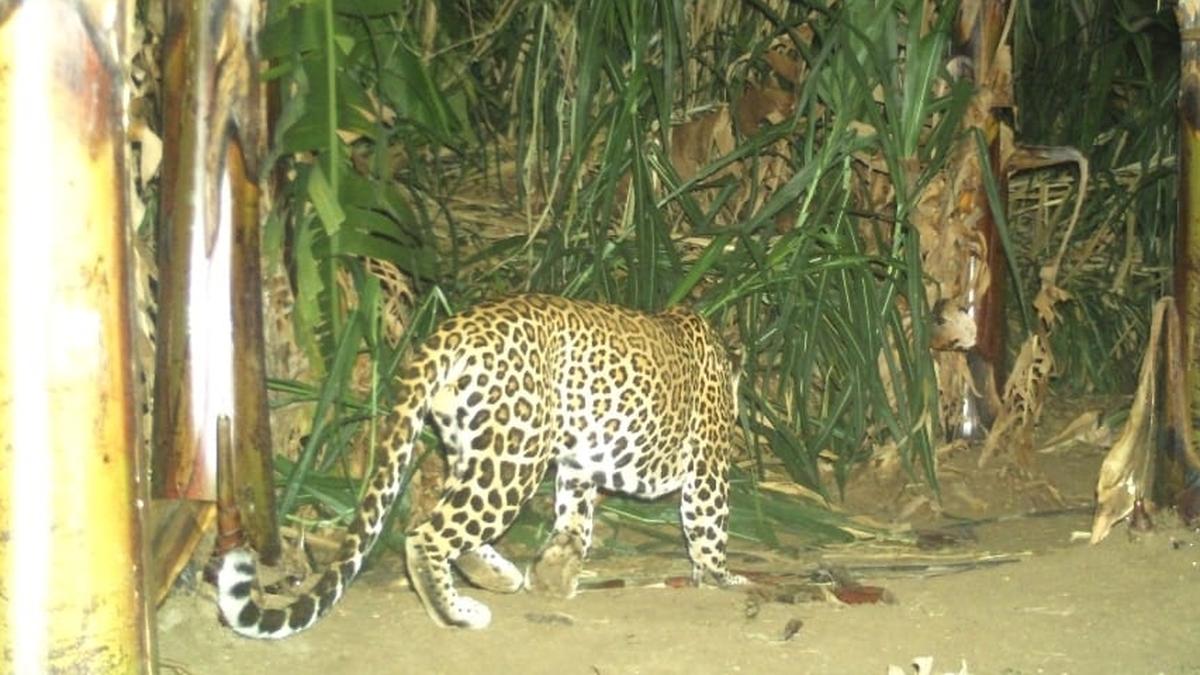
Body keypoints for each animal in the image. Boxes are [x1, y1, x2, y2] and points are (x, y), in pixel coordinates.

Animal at [217, 293, 745, 638]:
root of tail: (455, 328)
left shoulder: (577, 467)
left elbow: (575, 522)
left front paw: (553, 577)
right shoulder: (708, 466)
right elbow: (709, 527)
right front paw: (727, 578)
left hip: (475, 445)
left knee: (448, 521)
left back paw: (498, 576)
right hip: (515, 455)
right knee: (428, 532)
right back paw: (458, 613)